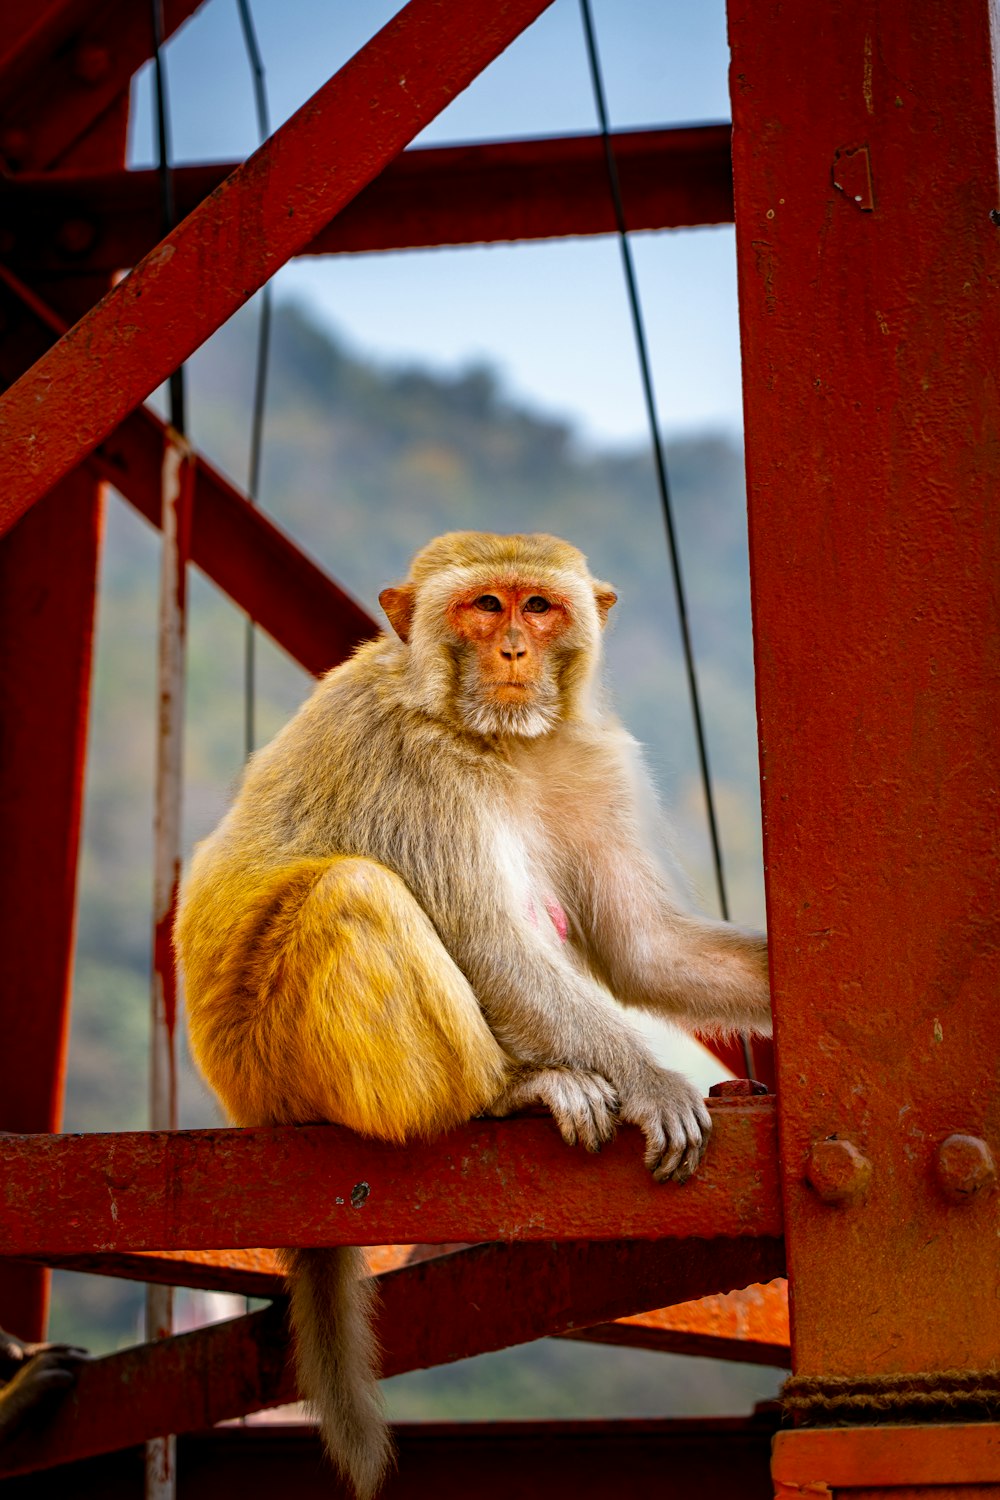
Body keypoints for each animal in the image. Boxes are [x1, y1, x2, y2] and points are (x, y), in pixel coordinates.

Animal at [177, 534, 773, 1494]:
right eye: (485, 606)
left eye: (539, 606)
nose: (515, 652)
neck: (500, 742)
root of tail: (242, 1106)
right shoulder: (411, 762)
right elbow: (486, 940)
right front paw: (651, 1081)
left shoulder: (589, 763)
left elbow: (641, 947)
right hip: (272, 1070)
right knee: (355, 892)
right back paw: (505, 1094)